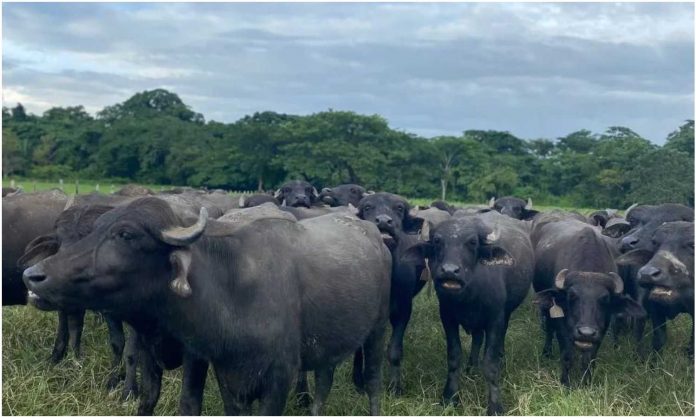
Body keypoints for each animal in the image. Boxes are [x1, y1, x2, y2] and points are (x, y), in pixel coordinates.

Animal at [532, 219, 648, 386]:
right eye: (571, 296)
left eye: (605, 299)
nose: (586, 333)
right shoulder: (562, 325)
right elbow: (567, 355)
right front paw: (566, 383)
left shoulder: (602, 327)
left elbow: (589, 358)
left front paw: (586, 381)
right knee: (549, 328)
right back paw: (547, 352)